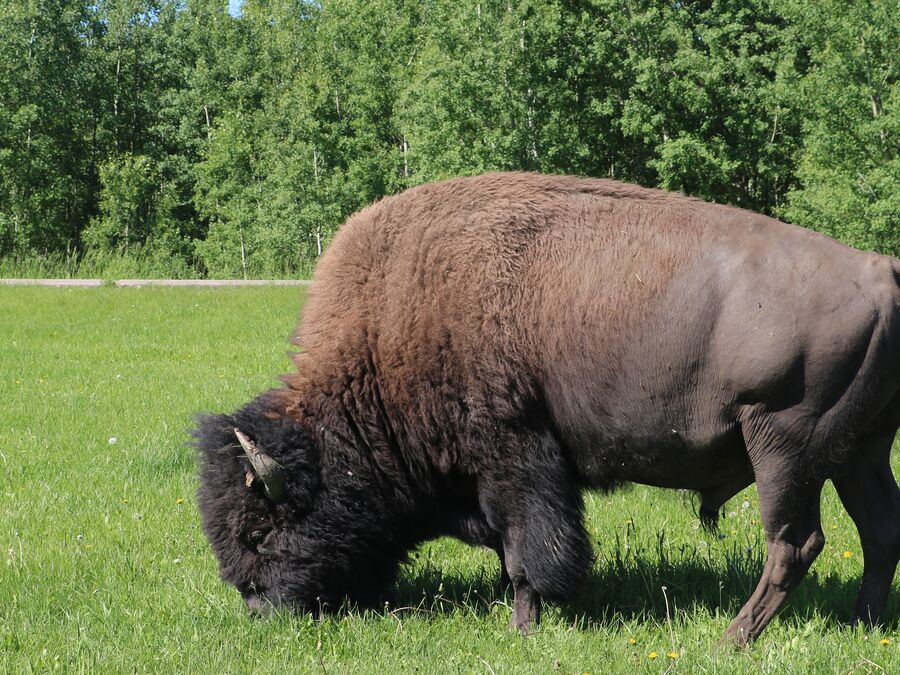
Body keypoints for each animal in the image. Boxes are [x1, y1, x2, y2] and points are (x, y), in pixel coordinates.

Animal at [196, 172, 899, 644]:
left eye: (259, 533)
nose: (260, 610)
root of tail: (880, 273)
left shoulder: (516, 460)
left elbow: (526, 552)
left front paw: (524, 625)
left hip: (783, 447)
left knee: (794, 543)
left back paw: (732, 638)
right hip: (859, 451)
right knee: (877, 530)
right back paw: (861, 623)